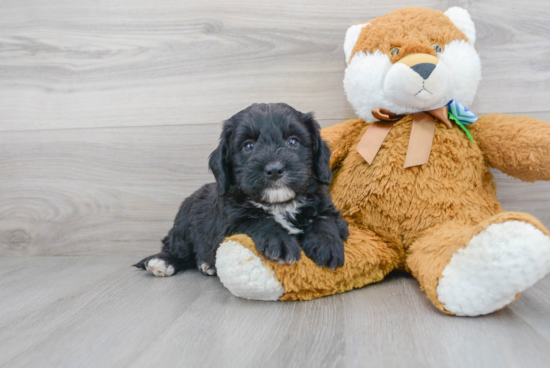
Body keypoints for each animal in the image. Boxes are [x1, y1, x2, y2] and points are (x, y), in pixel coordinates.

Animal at [135, 103, 350, 276]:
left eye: (293, 142)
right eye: (248, 146)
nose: (274, 169)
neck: (279, 204)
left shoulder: (327, 207)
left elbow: (325, 220)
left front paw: (327, 245)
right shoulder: (229, 223)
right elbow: (258, 219)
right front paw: (279, 241)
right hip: (184, 224)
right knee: (177, 248)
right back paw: (163, 262)